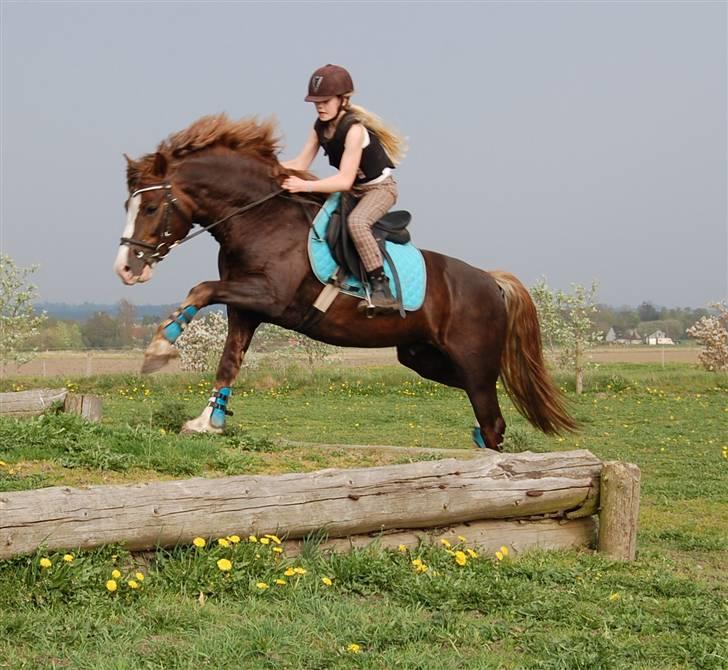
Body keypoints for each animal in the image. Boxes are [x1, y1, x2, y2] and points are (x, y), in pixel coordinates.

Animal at [116, 114, 576, 452]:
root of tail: (489, 281)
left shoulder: (269, 297)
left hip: (473, 359)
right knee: (484, 411)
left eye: (151, 207)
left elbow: (200, 288)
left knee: (491, 415)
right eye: (128, 205)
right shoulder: (245, 308)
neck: (258, 219)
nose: (125, 269)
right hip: (424, 357)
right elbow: (228, 359)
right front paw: (207, 421)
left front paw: (159, 348)